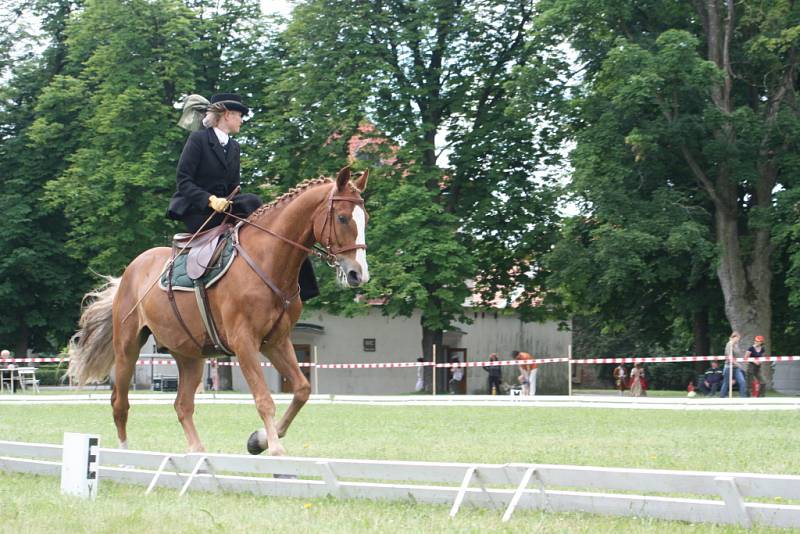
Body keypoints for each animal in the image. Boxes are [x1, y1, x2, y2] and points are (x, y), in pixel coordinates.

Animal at [69, 166, 368, 456]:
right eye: (342, 218)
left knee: (182, 405)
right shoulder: (244, 342)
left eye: (365, 218)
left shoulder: (276, 341)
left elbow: (302, 390)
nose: (358, 274)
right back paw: (125, 455)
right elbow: (264, 399)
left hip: (189, 355)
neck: (267, 260)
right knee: (120, 403)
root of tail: (129, 272)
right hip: (127, 348)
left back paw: (196, 450)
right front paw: (274, 448)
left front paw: (259, 440)